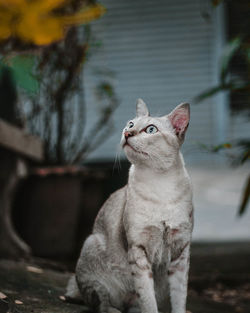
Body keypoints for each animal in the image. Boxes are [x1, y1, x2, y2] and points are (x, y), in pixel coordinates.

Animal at [66, 99, 193, 312]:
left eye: (151, 129)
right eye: (131, 124)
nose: (127, 133)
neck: (160, 185)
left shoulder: (180, 252)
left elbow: (179, 299)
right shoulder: (138, 249)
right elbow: (148, 299)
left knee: (133, 304)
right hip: (92, 246)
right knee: (101, 301)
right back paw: (113, 308)